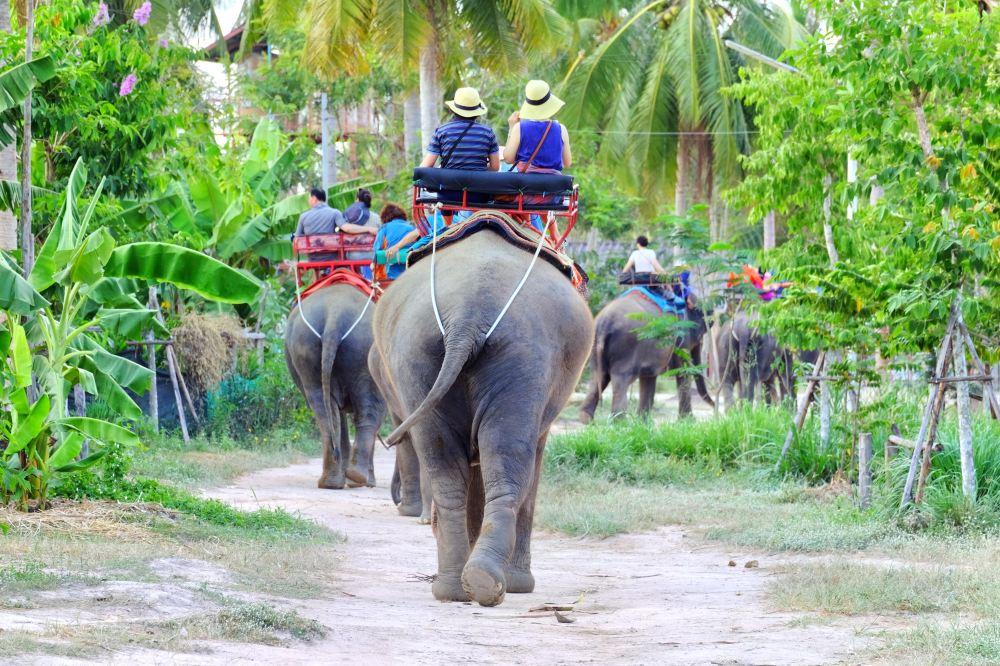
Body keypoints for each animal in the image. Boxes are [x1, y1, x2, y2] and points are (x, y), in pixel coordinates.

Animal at [284, 284, 386, 489]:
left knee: (325, 413)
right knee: (370, 412)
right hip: (365, 351)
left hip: (305, 349)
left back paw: (332, 481)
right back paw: (357, 478)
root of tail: (335, 313)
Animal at [370, 229, 593, 607]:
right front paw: (516, 584)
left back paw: (459, 586)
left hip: (417, 354)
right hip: (523, 354)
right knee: (509, 459)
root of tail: (466, 315)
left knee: (444, 462)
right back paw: (495, 583)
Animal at [578, 292, 714, 423]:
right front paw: (688, 421)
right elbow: (682, 371)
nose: (714, 405)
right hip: (626, 344)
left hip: (593, 343)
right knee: (620, 378)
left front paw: (643, 423)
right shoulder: (681, 337)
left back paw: (587, 420)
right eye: (702, 332)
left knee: (599, 376)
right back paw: (620, 422)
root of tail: (604, 323)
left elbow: (649, 377)